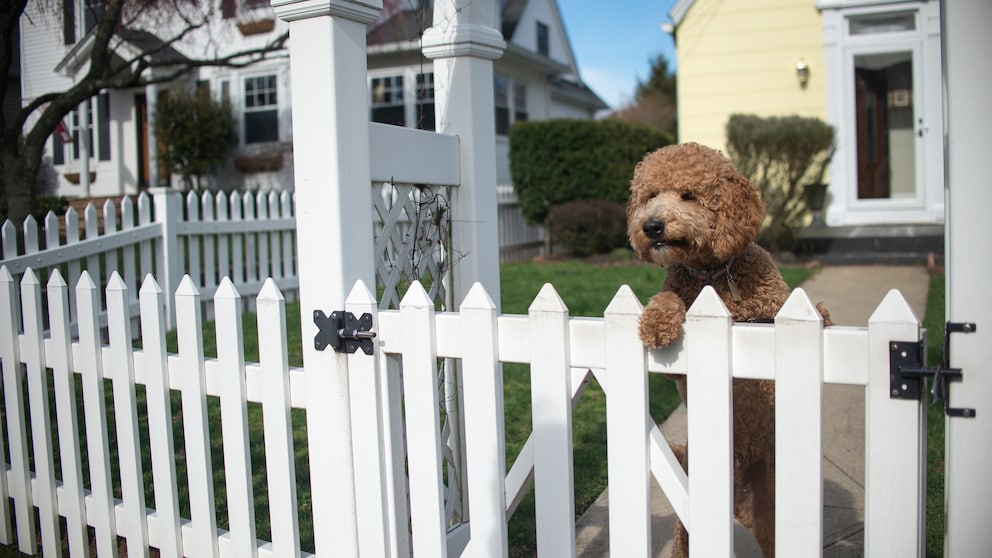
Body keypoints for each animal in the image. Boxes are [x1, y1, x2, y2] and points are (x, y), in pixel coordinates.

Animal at [628, 143, 828, 558]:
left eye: (688, 195)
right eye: (650, 195)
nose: (651, 226)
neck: (715, 275)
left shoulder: (775, 306)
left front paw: (823, 315)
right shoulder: (679, 368)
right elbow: (668, 298)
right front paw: (656, 320)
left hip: (771, 514)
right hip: (690, 519)